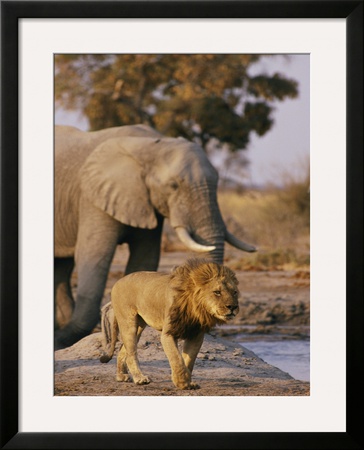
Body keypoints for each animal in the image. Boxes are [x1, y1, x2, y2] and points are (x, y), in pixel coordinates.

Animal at [99, 258, 239, 388]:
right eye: (217, 292)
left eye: (235, 292)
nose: (233, 307)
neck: (195, 309)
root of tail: (118, 281)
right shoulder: (168, 333)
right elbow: (176, 358)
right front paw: (182, 382)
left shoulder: (196, 335)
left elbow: (188, 360)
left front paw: (188, 382)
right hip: (129, 324)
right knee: (131, 353)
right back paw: (140, 378)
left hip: (139, 325)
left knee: (124, 350)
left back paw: (121, 375)